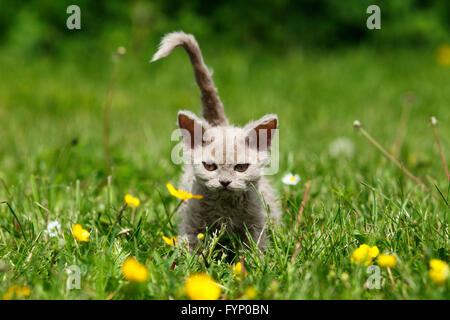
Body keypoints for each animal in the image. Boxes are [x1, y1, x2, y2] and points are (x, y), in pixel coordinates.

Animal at [151, 32, 282, 252]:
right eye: (210, 166)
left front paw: (254, 261)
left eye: (241, 167)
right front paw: (189, 261)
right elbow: (192, 245)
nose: (225, 182)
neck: (225, 208)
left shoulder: (256, 223)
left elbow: (254, 248)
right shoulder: (193, 221)